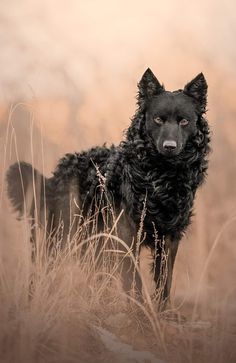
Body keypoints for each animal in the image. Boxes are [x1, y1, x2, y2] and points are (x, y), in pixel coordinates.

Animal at [6, 69, 210, 308]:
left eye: (184, 121)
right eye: (158, 119)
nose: (169, 147)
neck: (160, 177)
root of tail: (56, 174)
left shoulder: (170, 236)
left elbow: (164, 283)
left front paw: (162, 312)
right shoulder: (127, 235)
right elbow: (134, 283)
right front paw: (140, 313)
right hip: (61, 238)